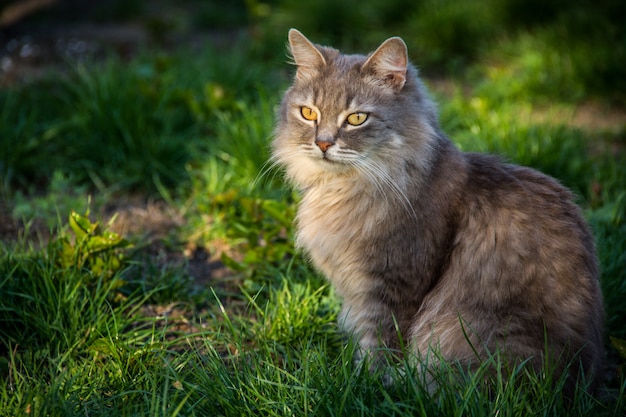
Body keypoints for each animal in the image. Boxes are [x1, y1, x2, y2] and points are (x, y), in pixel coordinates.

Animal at [270, 29, 604, 394]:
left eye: (357, 118)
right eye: (308, 113)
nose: (323, 143)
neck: (344, 188)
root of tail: (581, 379)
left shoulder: (395, 283)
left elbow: (381, 345)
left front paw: (366, 382)